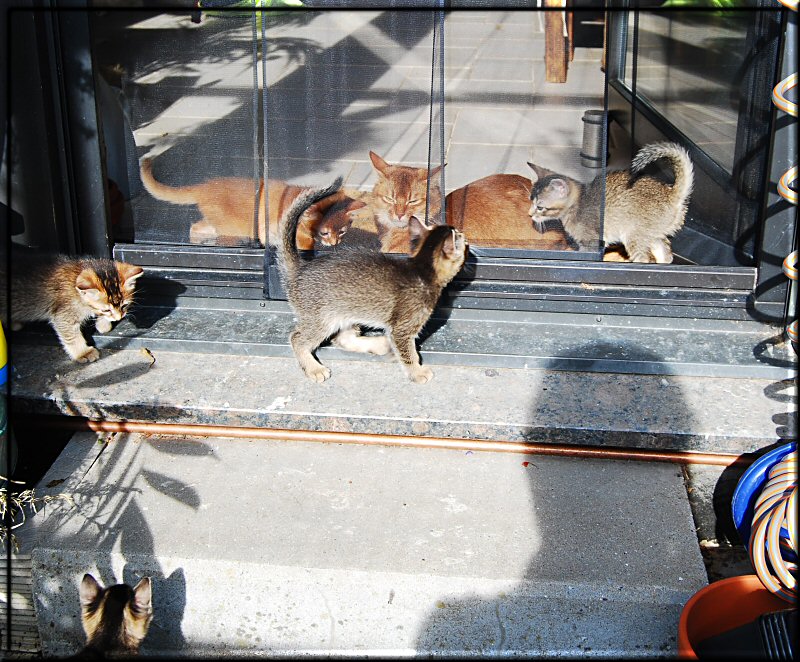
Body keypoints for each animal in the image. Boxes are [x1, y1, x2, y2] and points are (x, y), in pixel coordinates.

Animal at [5, 254, 144, 366]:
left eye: (124, 306)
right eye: (106, 310)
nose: (119, 318)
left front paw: (103, 325)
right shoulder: (63, 315)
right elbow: (72, 336)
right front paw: (83, 353)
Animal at [280, 178, 468, 384]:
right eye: (460, 237)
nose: (464, 237)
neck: (420, 270)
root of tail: (300, 267)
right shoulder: (402, 328)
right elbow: (408, 353)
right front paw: (417, 372)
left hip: (345, 314)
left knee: (343, 338)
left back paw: (379, 344)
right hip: (321, 319)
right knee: (297, 338)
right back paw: (314, 368)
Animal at [528, 141, 692, 264]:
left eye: (540, 207)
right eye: (531, 201)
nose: (530, 214)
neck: (578, 203)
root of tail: (671, 194)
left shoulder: (592, 242)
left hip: (633, 234)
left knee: (644, 258)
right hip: (654, 235)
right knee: (667, 255)